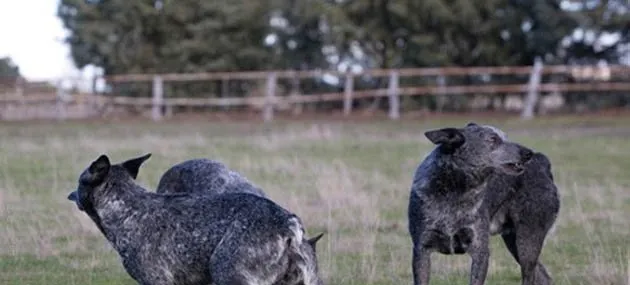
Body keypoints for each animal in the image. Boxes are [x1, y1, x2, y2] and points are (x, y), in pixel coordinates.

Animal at [410, 122, 540, 284]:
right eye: (493, 139)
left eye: (506, 137)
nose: (529, 153)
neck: (454, 190)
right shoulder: (421, 249)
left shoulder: (480, 250)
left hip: (527, 244)